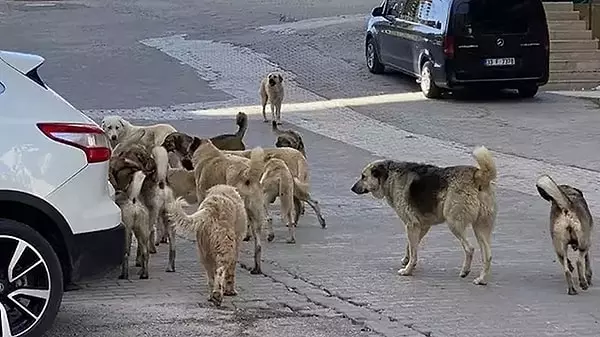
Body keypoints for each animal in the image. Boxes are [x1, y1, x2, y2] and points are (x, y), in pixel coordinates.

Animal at [108, 142, 176, 270]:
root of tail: (160, 181)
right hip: (167, 218)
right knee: (172, 245)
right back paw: (170, 266)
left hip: (148, 219)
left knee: (146, 240)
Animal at [185, 136, 264, 272]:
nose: (184, 159)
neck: (208, 154)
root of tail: (247, 173)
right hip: (255, 215)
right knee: (258, 244)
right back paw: (256, 268)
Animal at [352, 145, 496, 284]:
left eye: (363, 176)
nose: (352, 189)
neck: (389, 176)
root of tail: (477, 176)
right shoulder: (422, 226)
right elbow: (410, 247)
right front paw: (407, 260)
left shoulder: (411, 225)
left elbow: (413, 251)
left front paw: (407, 270)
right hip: (481, 228)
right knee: (488, 255)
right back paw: (481, 279)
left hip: (454, 223)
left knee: (469, 248)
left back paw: (465, 271)